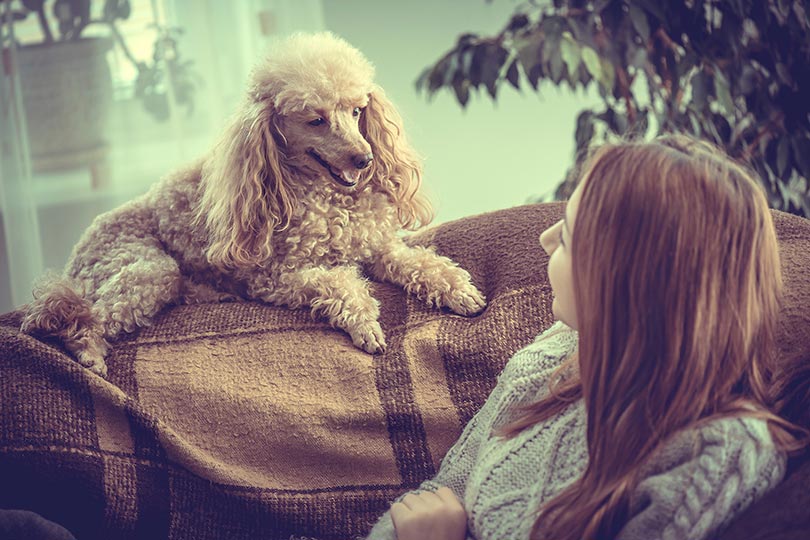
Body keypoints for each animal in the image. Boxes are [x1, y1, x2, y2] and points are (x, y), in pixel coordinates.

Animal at [20, 31, 486, 378]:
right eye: (316, 120)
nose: (365, 159)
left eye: (357, 111)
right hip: (147, 269)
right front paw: (365, 323)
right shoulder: (279, 276)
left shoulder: (378, 247)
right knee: (83, 315)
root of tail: (77, 254)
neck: (326, 196)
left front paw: (459, 290)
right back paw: (87, 350)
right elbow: (338, 283)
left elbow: (419, 262)